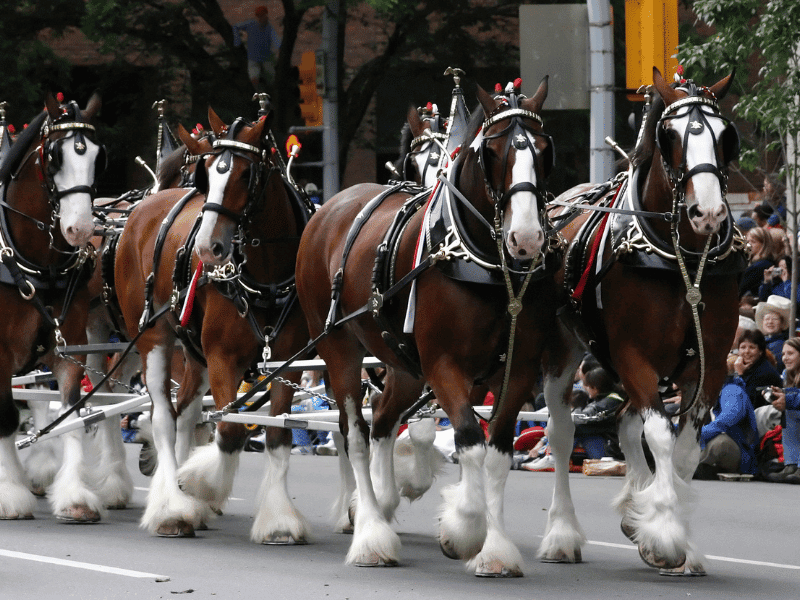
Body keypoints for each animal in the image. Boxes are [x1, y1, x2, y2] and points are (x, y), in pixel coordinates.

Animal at [115, 108, 312, 540]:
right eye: (208, 173)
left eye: (246, 173)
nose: (208, 248)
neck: (265, 278)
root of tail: (144, 208)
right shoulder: (225, 359)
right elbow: (231, 430)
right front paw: (197, 485)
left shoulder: (288, 362)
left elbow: (278, 434)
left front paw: (278, 520)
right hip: (153, 339)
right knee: (164, 418)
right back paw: (172, 507)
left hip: (194, 351)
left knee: (185, 413)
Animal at [296, 79, 564, 572]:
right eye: (491, 152)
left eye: (543, 149)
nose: (526, 238)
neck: (483, 263)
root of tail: (331, 207)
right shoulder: (443, 366)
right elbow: (469, 439)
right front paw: (466, 527)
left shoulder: (516, 370)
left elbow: (497, 450)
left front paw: (495, 547)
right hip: (339, 349)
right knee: (356, 433)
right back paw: (370, 533)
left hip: (401, 363)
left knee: (383, 419)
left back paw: (381, 503)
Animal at [536, 68, 744, 576]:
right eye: (670, 137)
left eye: (726, 137)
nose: (709, 212)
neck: (679, 258)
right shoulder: (632, 354)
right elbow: (659, 436)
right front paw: (665, 530)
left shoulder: (708, 366)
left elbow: (685, 448)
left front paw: (668, 532)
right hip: (564, 350)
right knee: (563, 432)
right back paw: (562, 534)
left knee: (625, 423)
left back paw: (635, 506)